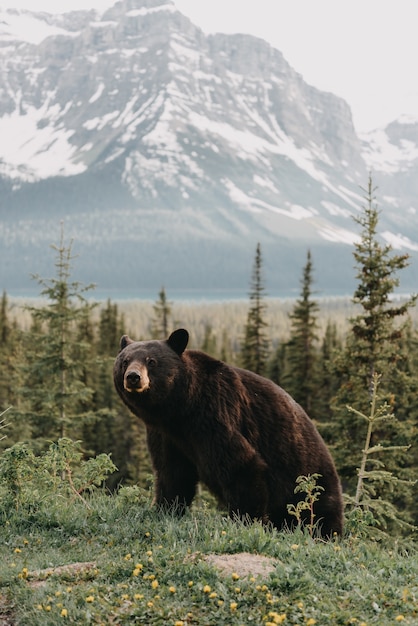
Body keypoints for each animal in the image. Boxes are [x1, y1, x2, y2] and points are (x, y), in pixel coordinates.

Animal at [114, 330, 342, 532]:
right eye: (124, 361)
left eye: (151, 361)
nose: (133, 377)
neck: (181, 410)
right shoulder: (165, 435)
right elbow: (172, 473)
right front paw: (164, 509)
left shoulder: (215, 415)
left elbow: (240, 466)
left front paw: (245, 521)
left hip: (309, 479)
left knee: (321, 514)